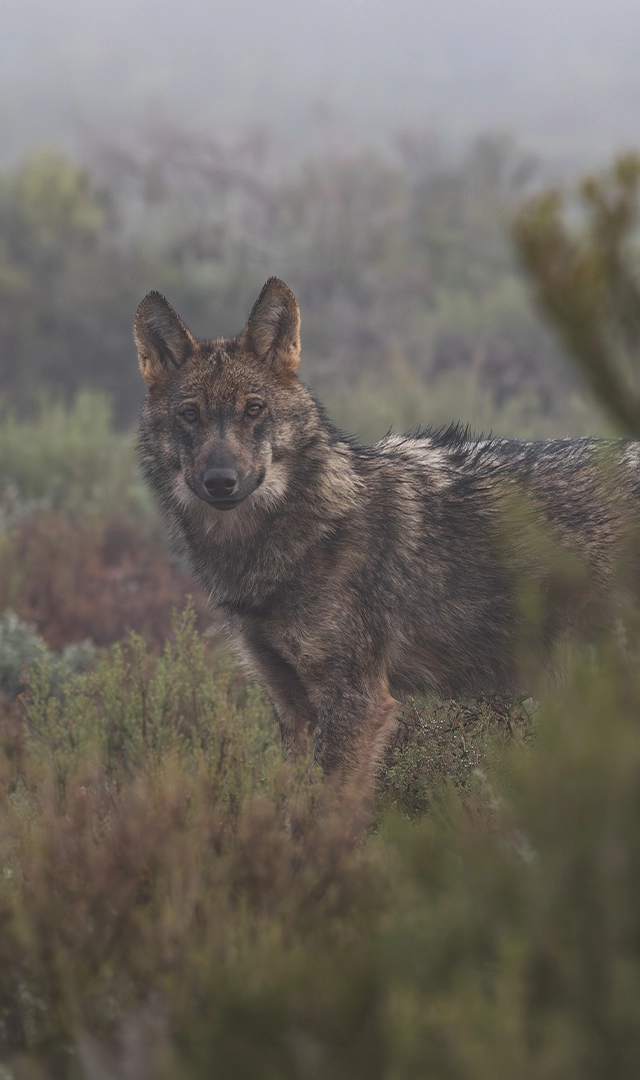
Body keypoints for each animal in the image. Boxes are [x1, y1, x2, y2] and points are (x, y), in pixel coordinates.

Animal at [135, 277, 640, 794]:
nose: (221, 481)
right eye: (190, 415)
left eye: (253, 409)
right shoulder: (290, 704)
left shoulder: (358, 701)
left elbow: (328, 810)